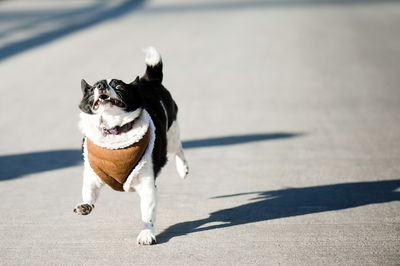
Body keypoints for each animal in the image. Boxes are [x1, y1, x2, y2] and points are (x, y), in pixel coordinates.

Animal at [74, 47, 189, 245]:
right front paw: (85, 205)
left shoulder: (148, 186)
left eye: (119, 87)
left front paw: (147, 234)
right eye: (95, 86)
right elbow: (88, 192)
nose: (101, 86)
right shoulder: (93, 177)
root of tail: (148, 80)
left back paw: (183, 169)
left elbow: (147, 215)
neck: (114, 130)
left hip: (172, 133)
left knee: (178, 149)